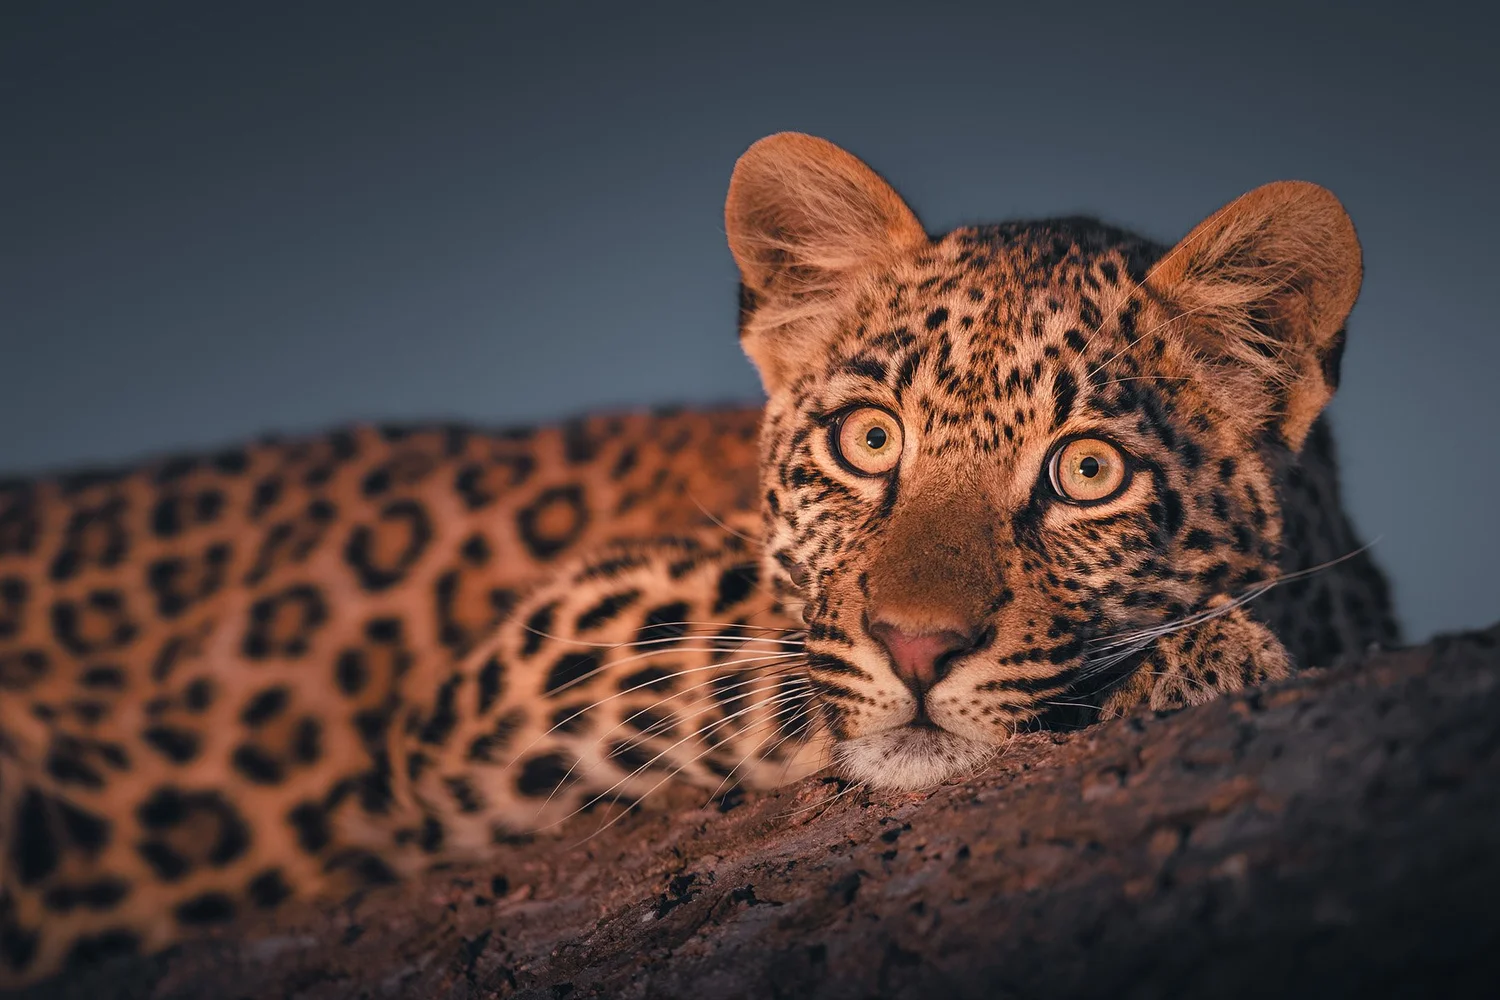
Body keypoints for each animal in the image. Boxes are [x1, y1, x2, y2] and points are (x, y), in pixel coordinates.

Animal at [0, 132, 1399, 989]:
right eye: (868, 439)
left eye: (1088, 472)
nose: (920, 648)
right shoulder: (541, 662)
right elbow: (781, 654)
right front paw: (1210, 653)